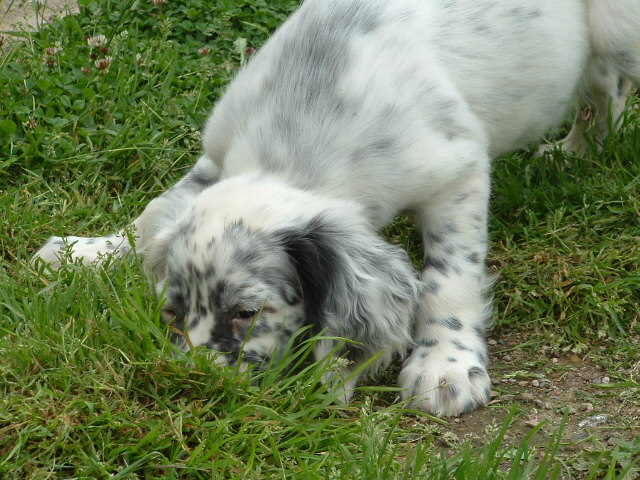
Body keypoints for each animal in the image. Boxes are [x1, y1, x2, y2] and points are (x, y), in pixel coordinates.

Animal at [35, 0, 640, 414]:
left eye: (247, 313)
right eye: (173, 311)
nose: (195, 386)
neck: (300, 135)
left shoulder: (457, 172)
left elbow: (449, 277)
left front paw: (444, 365)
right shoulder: (216, 156)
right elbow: (153, 213)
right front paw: (85, 252)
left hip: (617, 26)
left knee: (610, 80)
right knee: (603, 86)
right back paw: (572, 153)